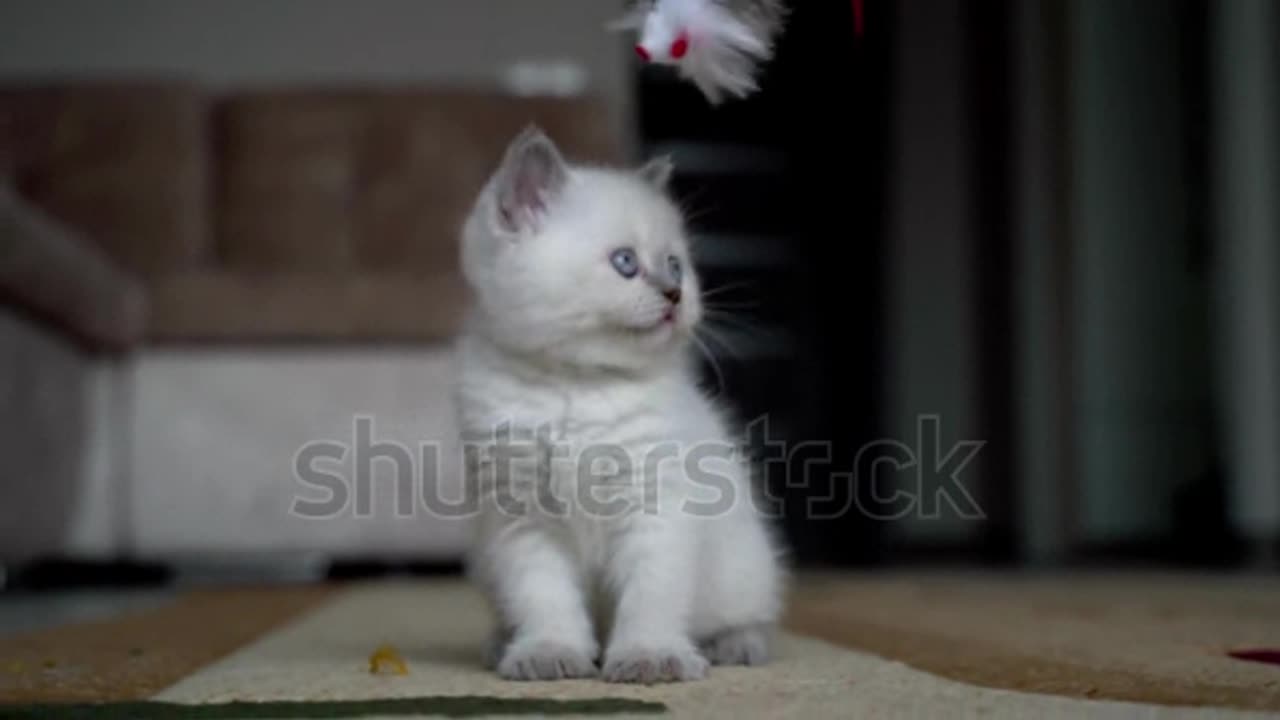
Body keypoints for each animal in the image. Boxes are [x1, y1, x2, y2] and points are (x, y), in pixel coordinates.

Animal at [455, 126, 783, 681]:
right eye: (625, 262)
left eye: (675, 265)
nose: (675, 294)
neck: (576, 386)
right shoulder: (521, 518)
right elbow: (543, 596)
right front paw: (550, 651)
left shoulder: (657, 507)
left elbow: (651, 595)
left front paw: (649, 657)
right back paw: (501, 644)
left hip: (743, 566)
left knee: (748, 615)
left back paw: (736, 646)